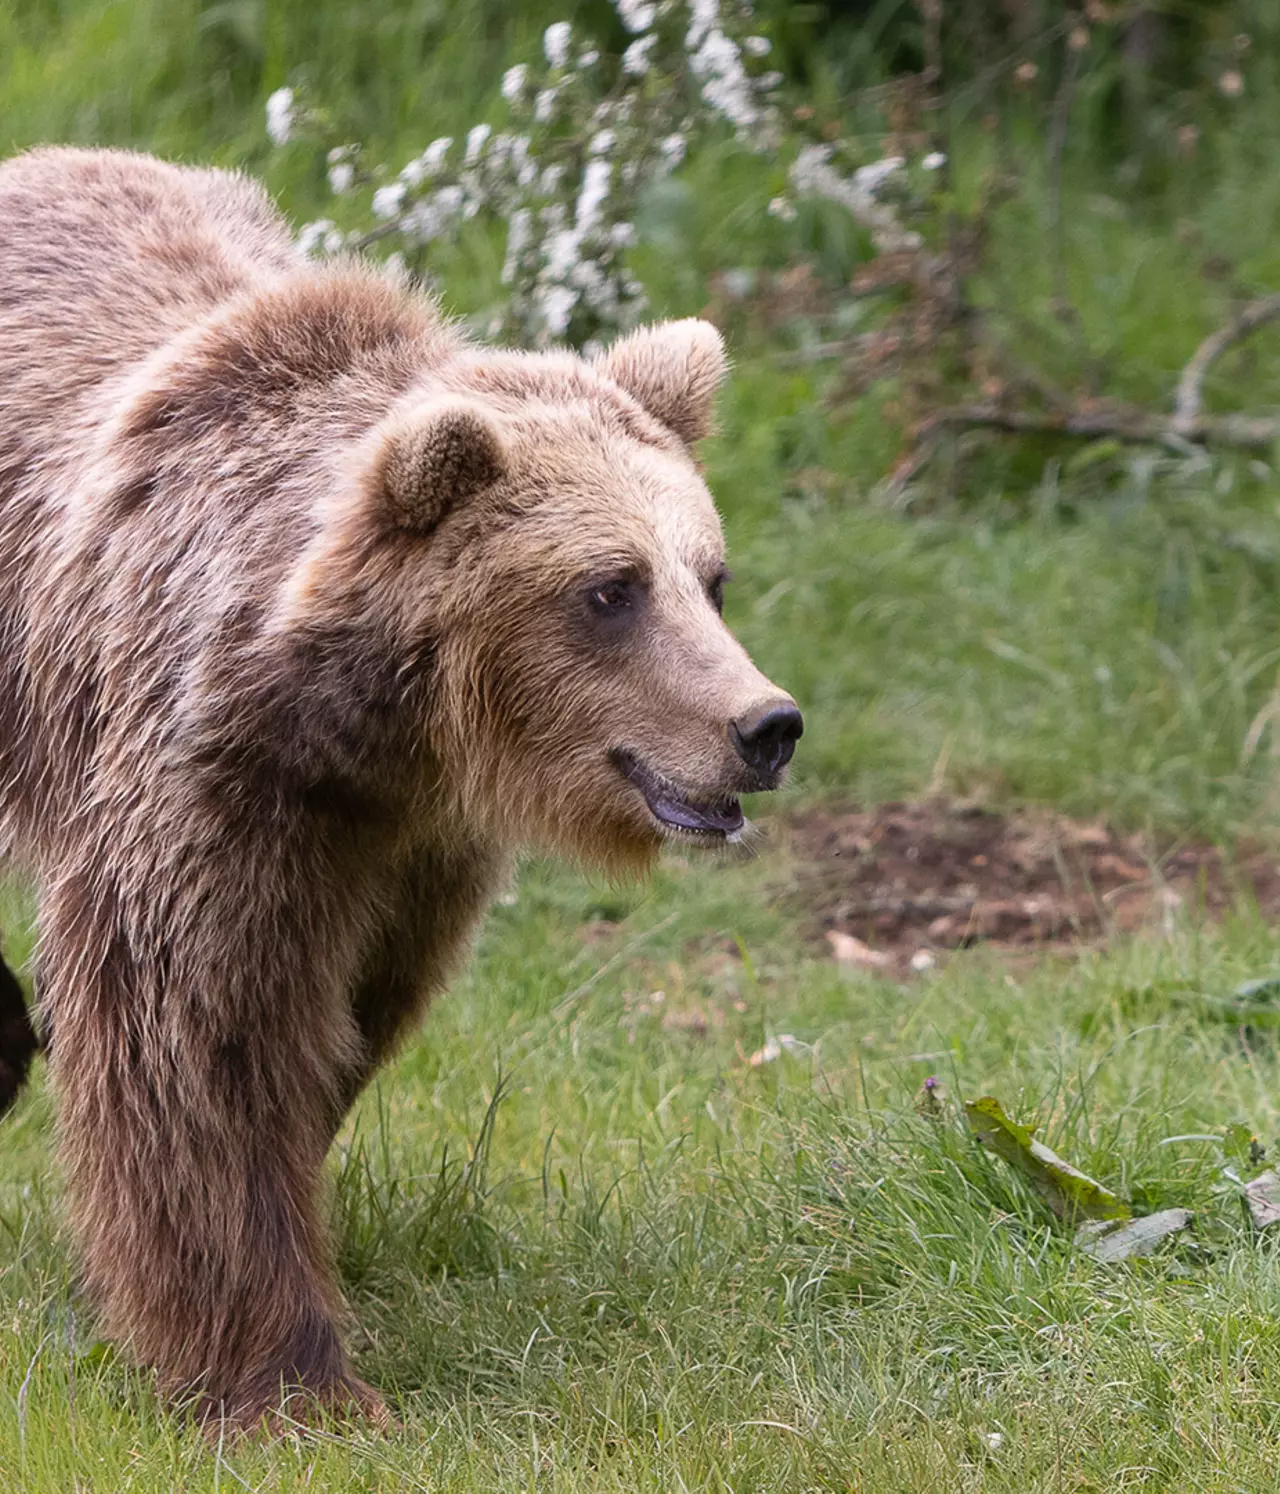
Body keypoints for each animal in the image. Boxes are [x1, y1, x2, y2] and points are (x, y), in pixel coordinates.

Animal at [0, 145, 800, 1428]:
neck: (370, 731)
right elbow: (203, 1041)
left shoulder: (405, 847)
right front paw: (285, 1377)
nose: (763, 726)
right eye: (609, 588)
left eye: (709, 575)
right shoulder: (209, 790)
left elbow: (349, 1014)